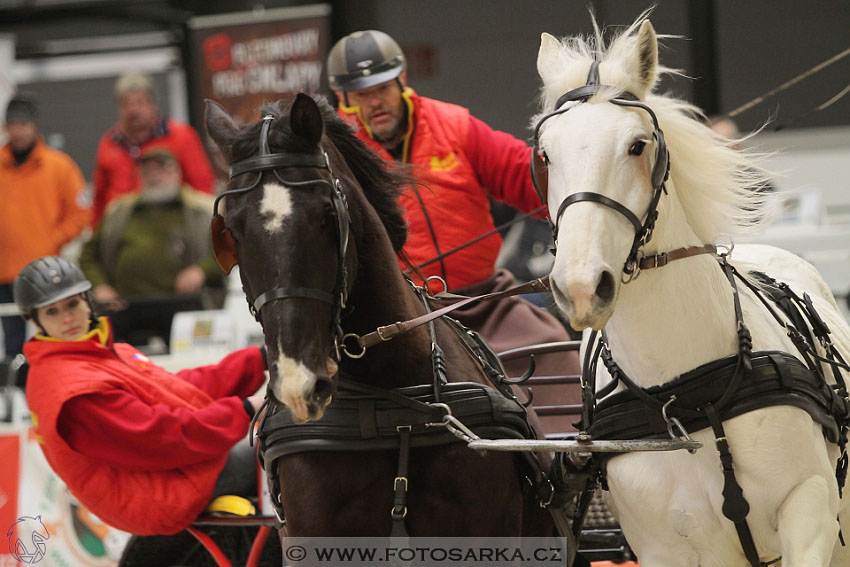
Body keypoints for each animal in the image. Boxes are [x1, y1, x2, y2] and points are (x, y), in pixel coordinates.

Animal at [532, 13, 848, 567]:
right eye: (545, 156)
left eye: (638, 145)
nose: (581, 286)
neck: (684, 399)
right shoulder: (663, 548)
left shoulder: (809, 510)